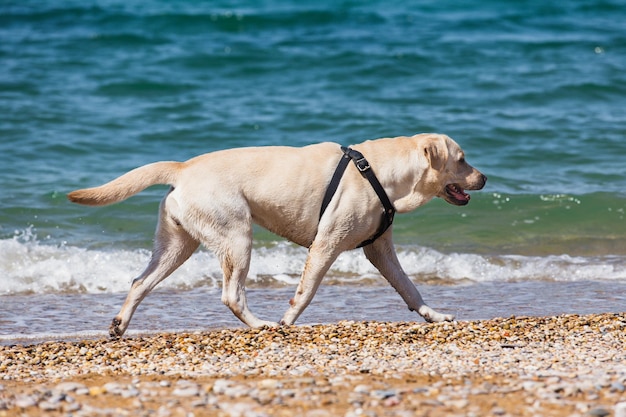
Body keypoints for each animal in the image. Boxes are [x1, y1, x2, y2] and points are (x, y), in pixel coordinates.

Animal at [69, 134, 488, 338]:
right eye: (462, 159)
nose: (484, 178)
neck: (380, 171)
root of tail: (183, 168)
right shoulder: (326, 245)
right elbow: (306, 291)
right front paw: (288, 320)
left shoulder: (380, 251)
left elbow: (410, 289)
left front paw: (434, 315)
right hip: (237, 238)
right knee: (232, 294)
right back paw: (262, 325)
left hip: (177, 246)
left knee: (140, 282)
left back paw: (119, 324)